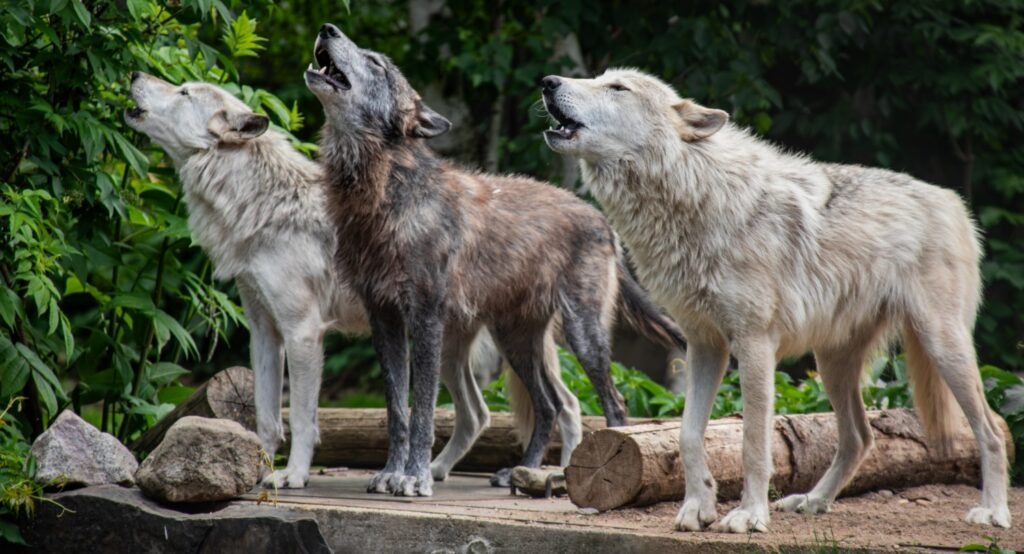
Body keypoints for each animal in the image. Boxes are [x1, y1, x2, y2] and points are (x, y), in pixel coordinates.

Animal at [305, 24, 687, 497]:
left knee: (611, 403)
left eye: (376, 62)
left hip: (582, 336)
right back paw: (523, 470)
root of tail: (599, 217)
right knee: (549, 405)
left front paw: (414, 478)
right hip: (515, 340)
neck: (386, 190)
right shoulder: (385, 320)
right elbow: (396, 410)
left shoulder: (425, 319)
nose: (328, 28)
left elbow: (422, 409)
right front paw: (391, 472)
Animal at [541, 69, 1010, 532]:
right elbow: (688, 434)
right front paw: (697, 508)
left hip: (941, 345)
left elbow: (753, 441)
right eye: (599, 77)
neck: (695, 195)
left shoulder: (754, 345)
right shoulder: (704, 345)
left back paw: (994, 511)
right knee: (860, 437)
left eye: (617, 87)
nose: (548, 82)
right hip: (832, 363)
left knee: (990, 431)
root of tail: (952, 200)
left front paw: (748, 515)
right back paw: (813, 501)